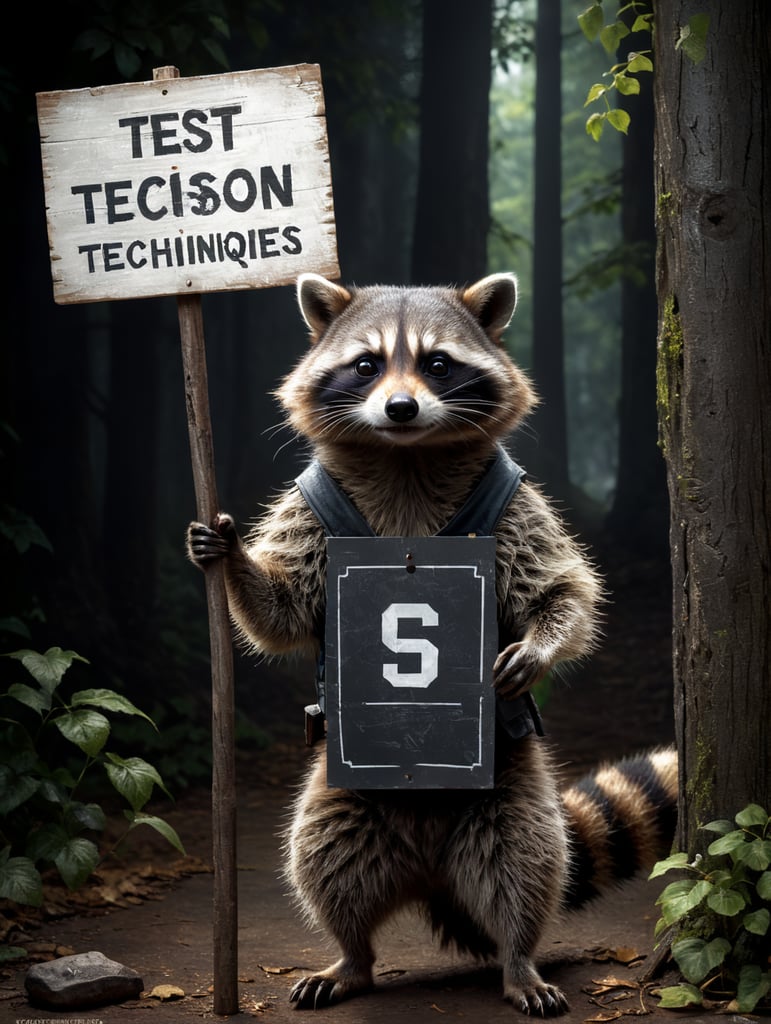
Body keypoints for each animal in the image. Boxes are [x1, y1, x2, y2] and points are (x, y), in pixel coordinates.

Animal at [186, 273, 670, 1014]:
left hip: (507, 792)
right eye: (366, 365)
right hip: (342, 798)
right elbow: (285, 611)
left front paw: (539, 644)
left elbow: (562, 591)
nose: (401, 407)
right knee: (322, 859)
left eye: (438, 363)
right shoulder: (307, 509)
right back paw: (351, 956)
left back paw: (517, 958)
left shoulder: (517, 506)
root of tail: (429, 871)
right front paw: (237, 563)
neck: (405, 453)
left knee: (523, 865)